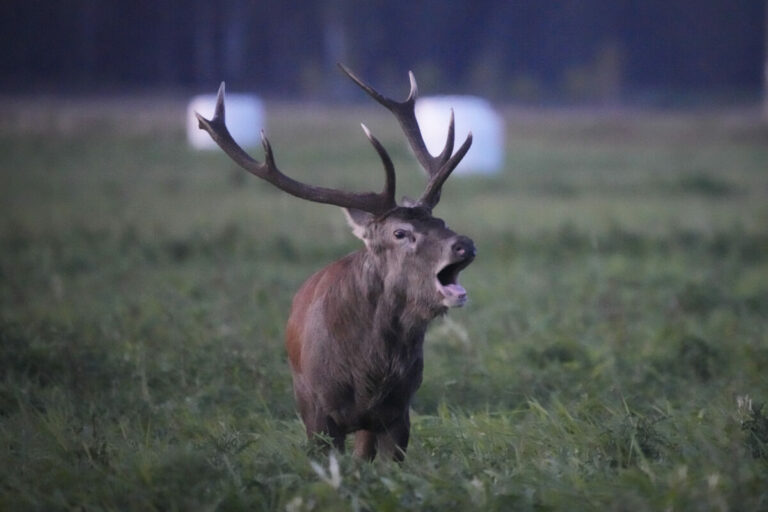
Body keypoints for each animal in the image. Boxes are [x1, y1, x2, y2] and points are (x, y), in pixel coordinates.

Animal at [195, 64, 474, 460]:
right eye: (400, 232)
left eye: (441, 221)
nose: (465, 245)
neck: (369, 372)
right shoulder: (317, 412)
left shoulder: (399, 412)